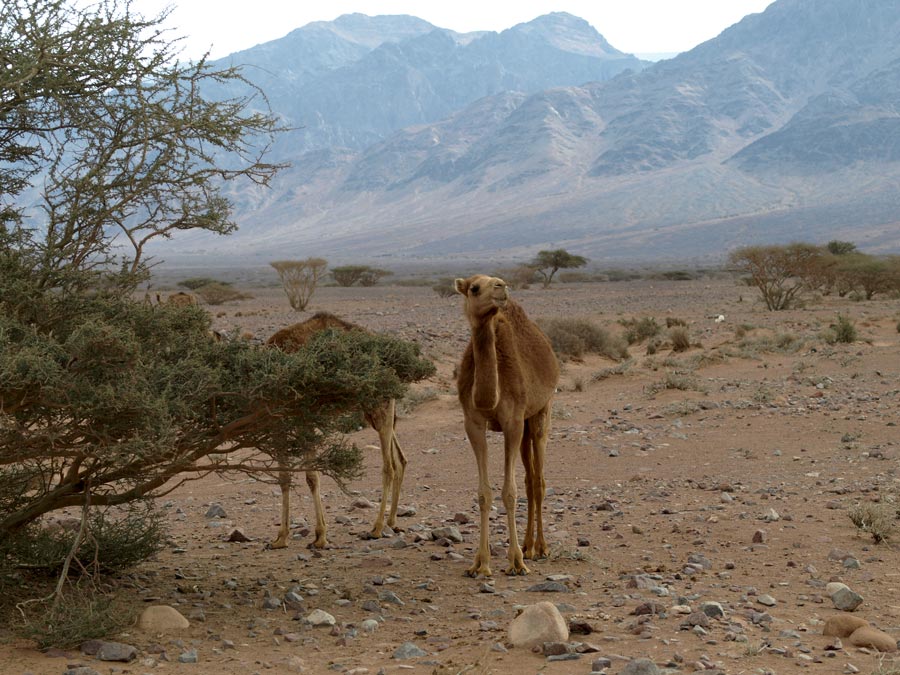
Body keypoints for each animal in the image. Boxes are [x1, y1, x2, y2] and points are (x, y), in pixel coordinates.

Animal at [266, 312, 406, 548]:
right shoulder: (278, 425)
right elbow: (284, 477)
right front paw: (281, 537)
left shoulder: (303, 419)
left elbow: (311, 476)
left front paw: (321, 536)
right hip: (375, 411)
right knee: (400, 460)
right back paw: (392, 522)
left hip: (380, 405)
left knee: (389, 466)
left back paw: (376, 528)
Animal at [454, 272, 560, 580]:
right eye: (474, 287)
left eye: (494, 281)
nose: (501, 287)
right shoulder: (473, 424)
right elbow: (484, 493)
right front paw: (480, 563)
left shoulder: (512, 422)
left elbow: (509, 492)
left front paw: (516, 562)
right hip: (525, 423)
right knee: (529, 479)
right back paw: (527, 545)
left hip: (541, 412)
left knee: (538, 480)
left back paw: (539, 548)